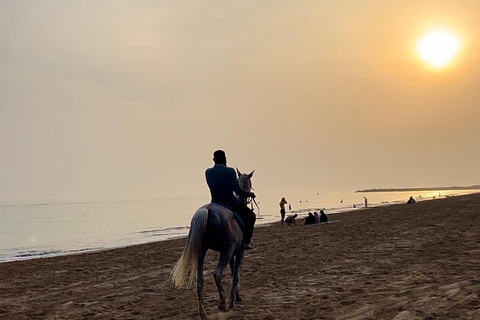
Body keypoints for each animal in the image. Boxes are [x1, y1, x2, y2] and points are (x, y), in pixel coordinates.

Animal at [172, 169, 255, 318]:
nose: (251, 193)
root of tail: (207, 210)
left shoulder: (232, 254)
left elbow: (233, 274)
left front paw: (237, 297)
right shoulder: (239, 252)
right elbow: (235, 276)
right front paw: (232, 302)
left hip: (202, 252)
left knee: (199, 281)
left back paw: (203, 314)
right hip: (226, 251)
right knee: (217, 274)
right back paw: (223, 304)